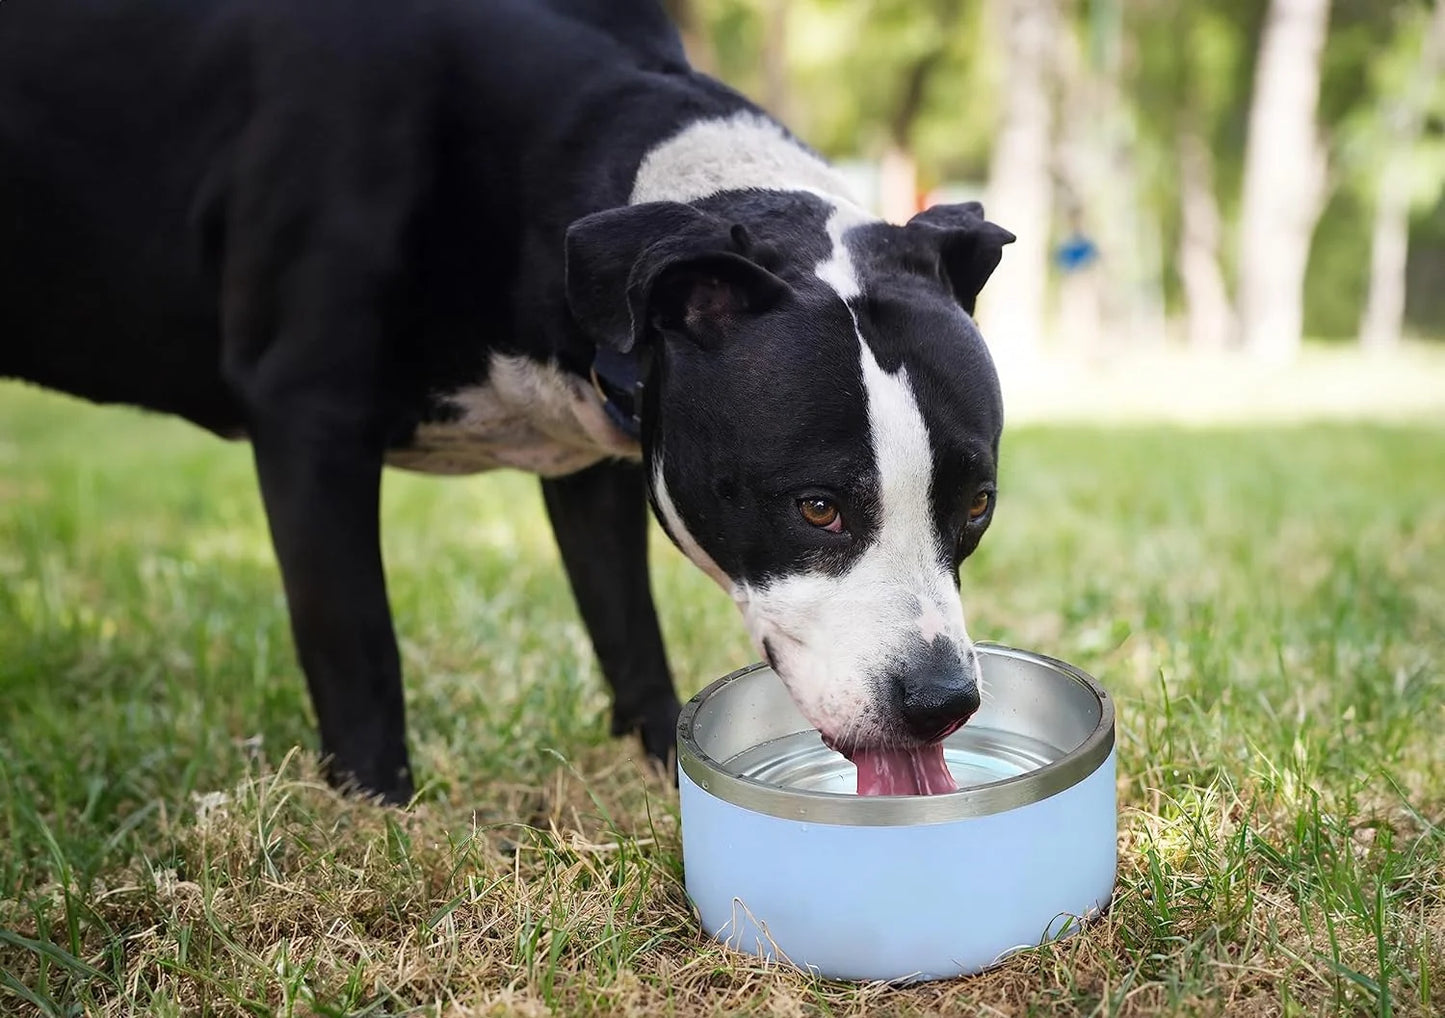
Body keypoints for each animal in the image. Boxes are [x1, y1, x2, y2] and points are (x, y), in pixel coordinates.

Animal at [0, 0, 1011, 803]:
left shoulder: (605, 450)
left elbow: (626, 628)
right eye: (817, 508)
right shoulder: (308, 419)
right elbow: (356, 646)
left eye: (975, 507)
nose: (941, 702)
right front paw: (377, 817)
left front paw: (659, 766)